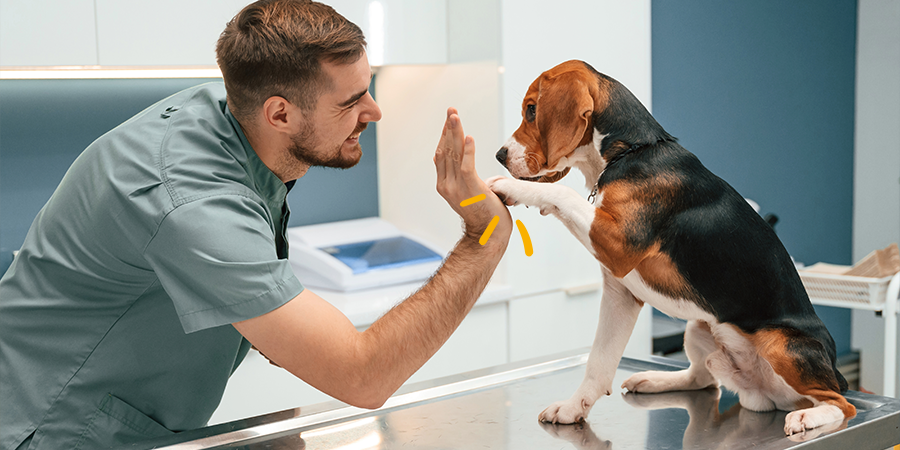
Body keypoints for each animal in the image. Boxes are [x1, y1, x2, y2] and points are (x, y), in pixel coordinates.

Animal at [488, 59, 856, 436]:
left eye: (532, 110)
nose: (500, 156)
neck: (631, 151)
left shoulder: (616, 243)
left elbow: (561, 193)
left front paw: (512, 187)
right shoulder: (620, 292)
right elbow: (598, 361)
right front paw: (574, 407)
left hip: (781, 344)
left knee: (842, 404)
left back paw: (809, 417)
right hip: (700, 327)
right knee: (704, 380)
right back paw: (654, 379)